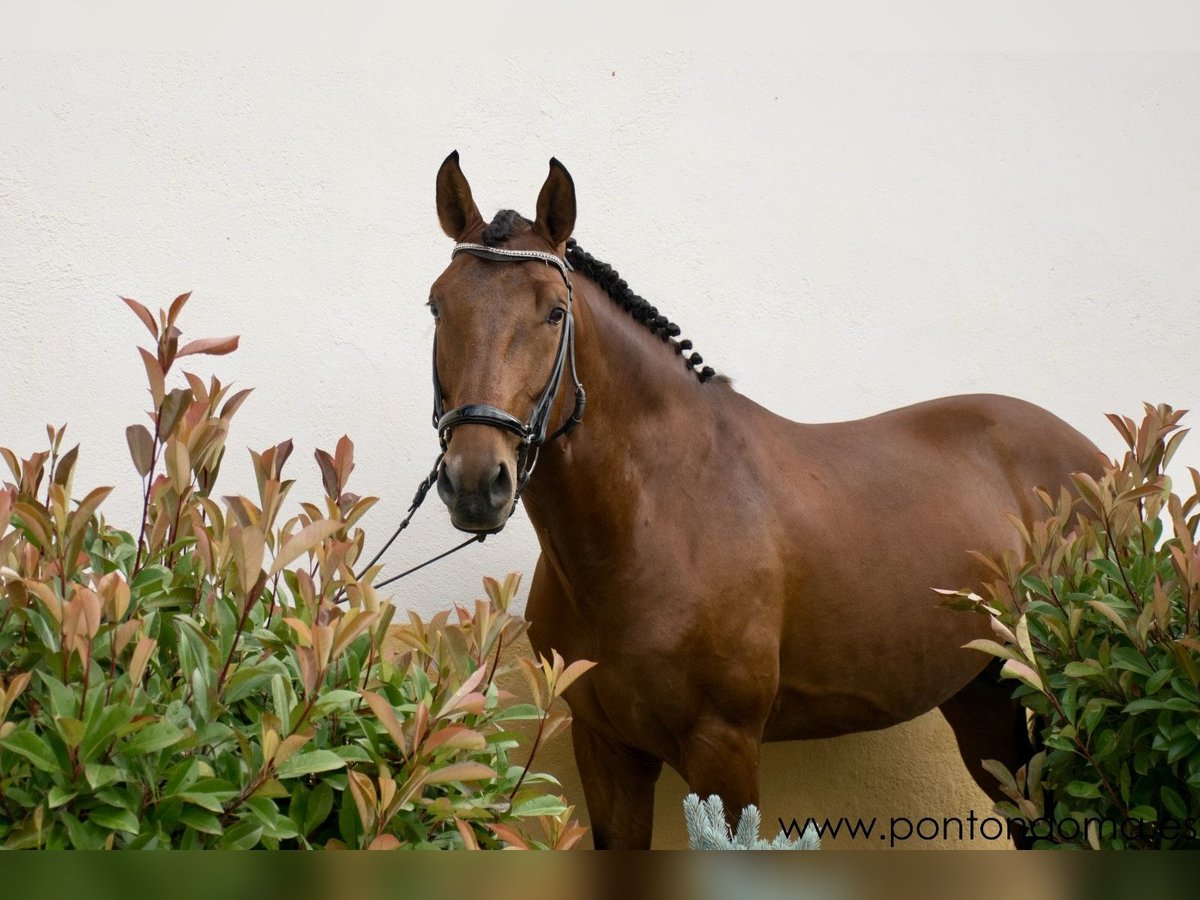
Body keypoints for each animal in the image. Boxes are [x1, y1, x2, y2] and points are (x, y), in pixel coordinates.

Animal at [427, 151, 1099, 849]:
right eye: (437, 307)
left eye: (555, 312)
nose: (475, 482)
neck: (652, 520)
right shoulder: (606, 746)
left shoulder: (723, 750)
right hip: (984, 694)